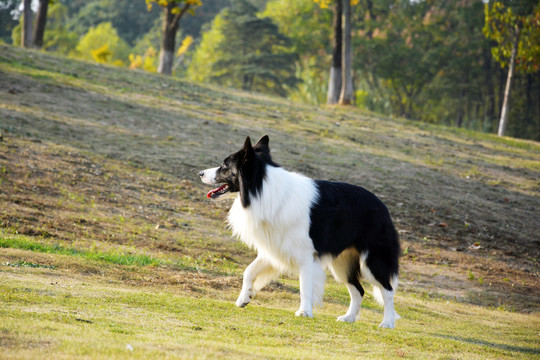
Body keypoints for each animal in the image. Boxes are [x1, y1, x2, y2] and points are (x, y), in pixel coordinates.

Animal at [199, 136, 400, 328]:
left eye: (225, 166)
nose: (200, 173)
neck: (262, 190)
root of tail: (383, 207)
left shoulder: (306, 255)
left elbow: (304, 286)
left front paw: (304, 312)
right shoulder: (275, 247)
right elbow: (249, 271)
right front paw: (244, 298)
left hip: (372, 261)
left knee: (388, 290)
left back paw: (387, 323)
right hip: (342, 264)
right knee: (359, 290)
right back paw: (348, 318)